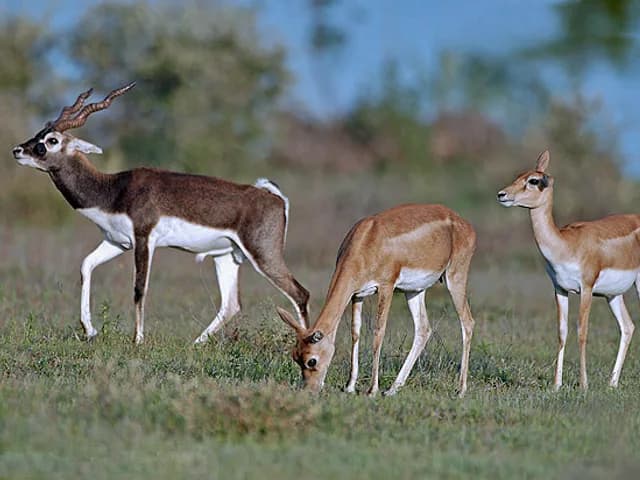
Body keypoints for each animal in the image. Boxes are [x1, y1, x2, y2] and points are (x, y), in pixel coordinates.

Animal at [12, 83, 309, 344]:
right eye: (40, 133)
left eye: (52, 140)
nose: (17, 150)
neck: (114, 190)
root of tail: (273, 197)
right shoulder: (117, 242)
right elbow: (86, 266)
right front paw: (90, 330)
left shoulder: (144, 240)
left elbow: (139, 288)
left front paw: (138, 340)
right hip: (226, 256)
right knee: (231, 305)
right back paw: (195, 343)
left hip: (263, 255)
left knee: (300, 294)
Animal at [277, 204, 476, 396]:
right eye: (295, 356)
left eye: (311, 361)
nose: (309, 390)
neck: (366, 241)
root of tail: (464, 223)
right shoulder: (357, 294)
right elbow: (355, 332)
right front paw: (350, 387)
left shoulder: (386, 287)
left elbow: (378, 332)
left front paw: (372, 390)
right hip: (414, 291)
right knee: (423, 329)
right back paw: (393, 389)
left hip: (455, 278)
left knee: (467, 322)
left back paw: (461, 390)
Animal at [497, 150, 638, 390]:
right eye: (519, 175)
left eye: (533, 181)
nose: (502, 194)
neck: (566, 244)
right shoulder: (560, 289)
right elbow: (562, 332)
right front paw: (556, 385)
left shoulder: (586, 289)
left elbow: (582, 331)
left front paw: (584, 385)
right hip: (613, 294)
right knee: (627, 326)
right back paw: (612, 384)